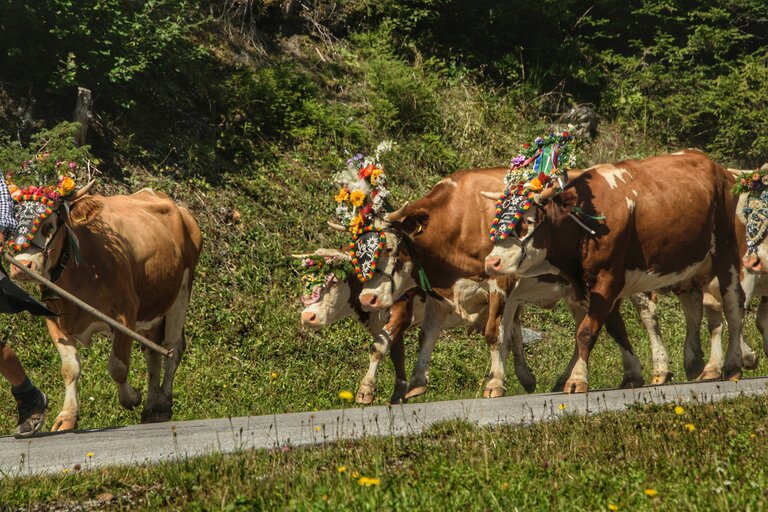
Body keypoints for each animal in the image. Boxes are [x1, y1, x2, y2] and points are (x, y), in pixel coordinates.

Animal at [10, 186, 202, 430]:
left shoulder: (125, 314)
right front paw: (67, 417)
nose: (21, 267)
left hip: (181, 292)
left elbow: (118, 367)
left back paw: (162, 405)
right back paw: (151, 407)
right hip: (152, 311)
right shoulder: (54, 319)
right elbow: (70, 368)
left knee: (172, 347)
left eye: (49, 225)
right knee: (152, 353)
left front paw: (132, 397)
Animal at [486, 148, 744, 392]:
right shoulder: (588, 287)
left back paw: (733, 365)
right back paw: (698, 363)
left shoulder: (608, 278)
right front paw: (632, 374)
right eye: (496, 223)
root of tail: (717, 167)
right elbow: (614, 329)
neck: (584, 225)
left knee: (732, 304)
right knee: (698, 307)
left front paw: (577, 379)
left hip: (726, 251)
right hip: (693, 265)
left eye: (528, 221)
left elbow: (586, 332)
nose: (492, 262)